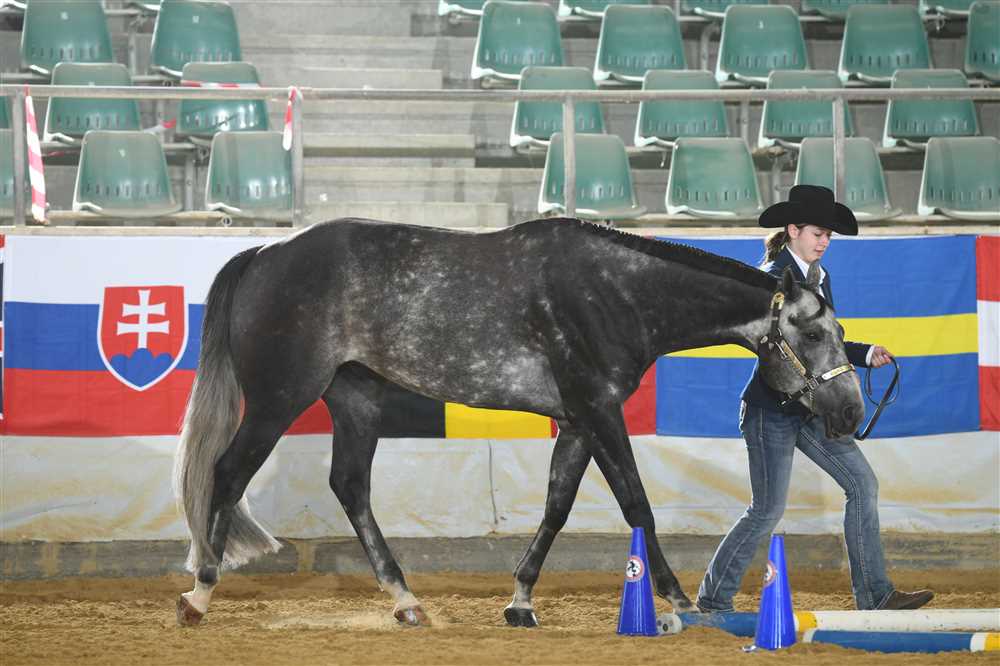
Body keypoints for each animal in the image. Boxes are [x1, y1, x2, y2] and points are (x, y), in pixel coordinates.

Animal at [174, 217, 864, 627]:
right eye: (811, 332)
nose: (852, 411)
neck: (615, 293)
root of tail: (264, 253)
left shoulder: (579, 420)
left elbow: (558, 505)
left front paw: (521, 600)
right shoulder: (599, 410)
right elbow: (636, 504)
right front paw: (675, 602)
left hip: (355, 399)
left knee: (349, 486)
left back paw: (406, 600)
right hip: (279, 398)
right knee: (228, 472)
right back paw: (199, 593)